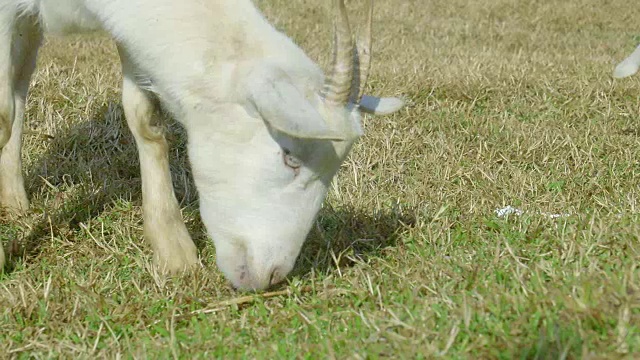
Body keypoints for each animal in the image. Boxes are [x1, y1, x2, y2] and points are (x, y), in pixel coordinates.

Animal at [0, 0, 402, 292]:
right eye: (290, 157)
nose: (273, 275)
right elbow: (2, 113)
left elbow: (144, 115)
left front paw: (173, 249)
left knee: (21, 83)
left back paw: (15, 199)